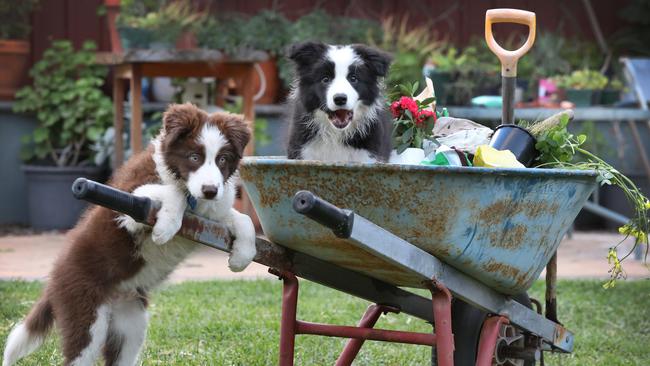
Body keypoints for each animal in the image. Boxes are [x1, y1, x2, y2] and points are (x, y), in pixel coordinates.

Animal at [2, 103, 256, 366]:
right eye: (194, 157)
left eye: (222, 160)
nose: (210, 190)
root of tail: (53, 280)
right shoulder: (130, 206)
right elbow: (172, 193)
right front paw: (166, 226)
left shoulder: (212, 213)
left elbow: (242, 218)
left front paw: (242, 255)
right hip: (86, 316)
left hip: (130, 324)